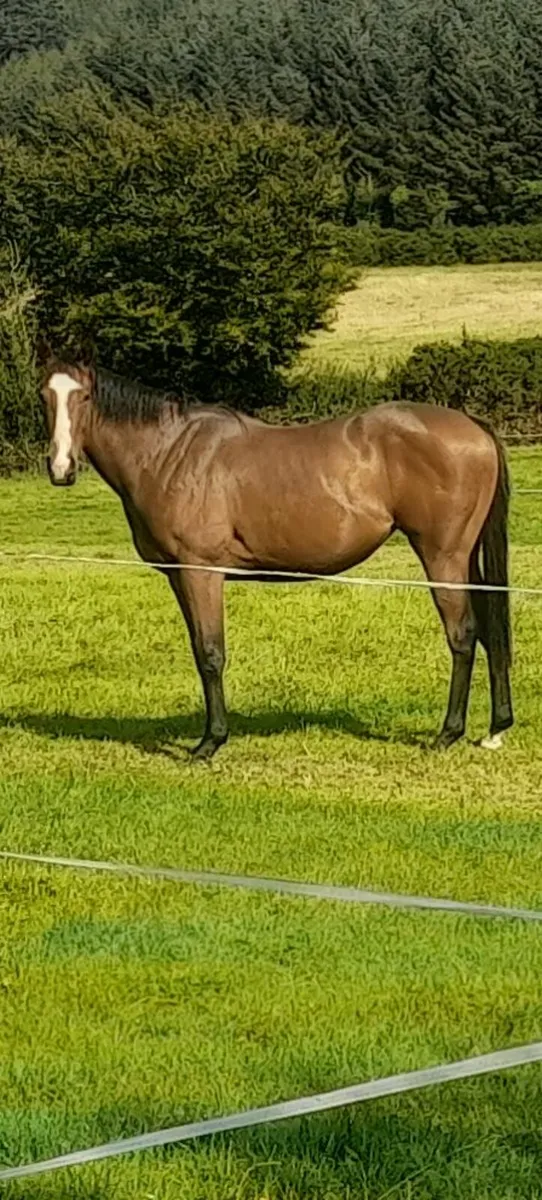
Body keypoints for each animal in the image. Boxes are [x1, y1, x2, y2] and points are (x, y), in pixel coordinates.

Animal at [39, 355, 513, 760]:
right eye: (45, 395)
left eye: (84, 396)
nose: (61, 469)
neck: (169, 453)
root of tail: (472, 426)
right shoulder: (179, 576)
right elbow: (199, 651)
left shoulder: (199, 571)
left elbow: (210, 653)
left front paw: (210, 742)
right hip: (466, 558)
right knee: (489, 630)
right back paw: (495, 728)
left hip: (442, 556)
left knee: (463, 634)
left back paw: (448, 733)